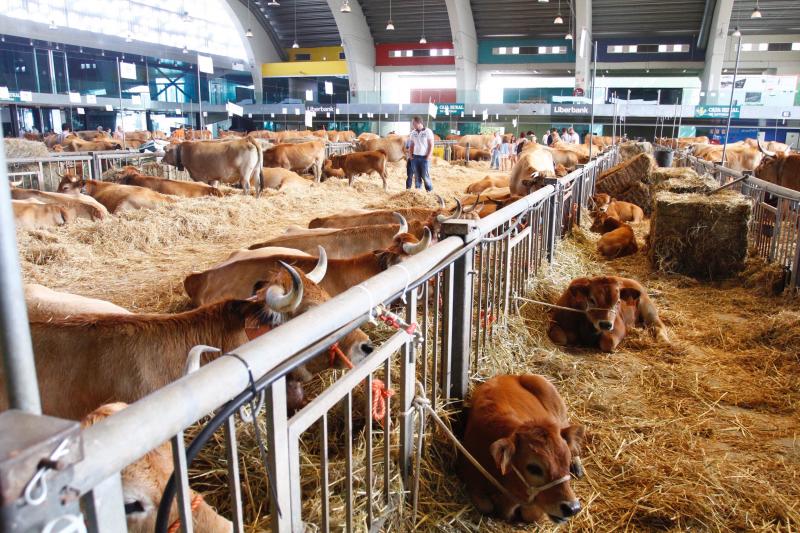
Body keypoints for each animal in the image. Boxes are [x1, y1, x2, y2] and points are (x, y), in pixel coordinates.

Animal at [460, 374, 584, 524]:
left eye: (566, 460)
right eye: (534, 468)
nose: (572, 507)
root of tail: (508, 375)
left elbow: (531, 514)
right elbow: (485, 506)